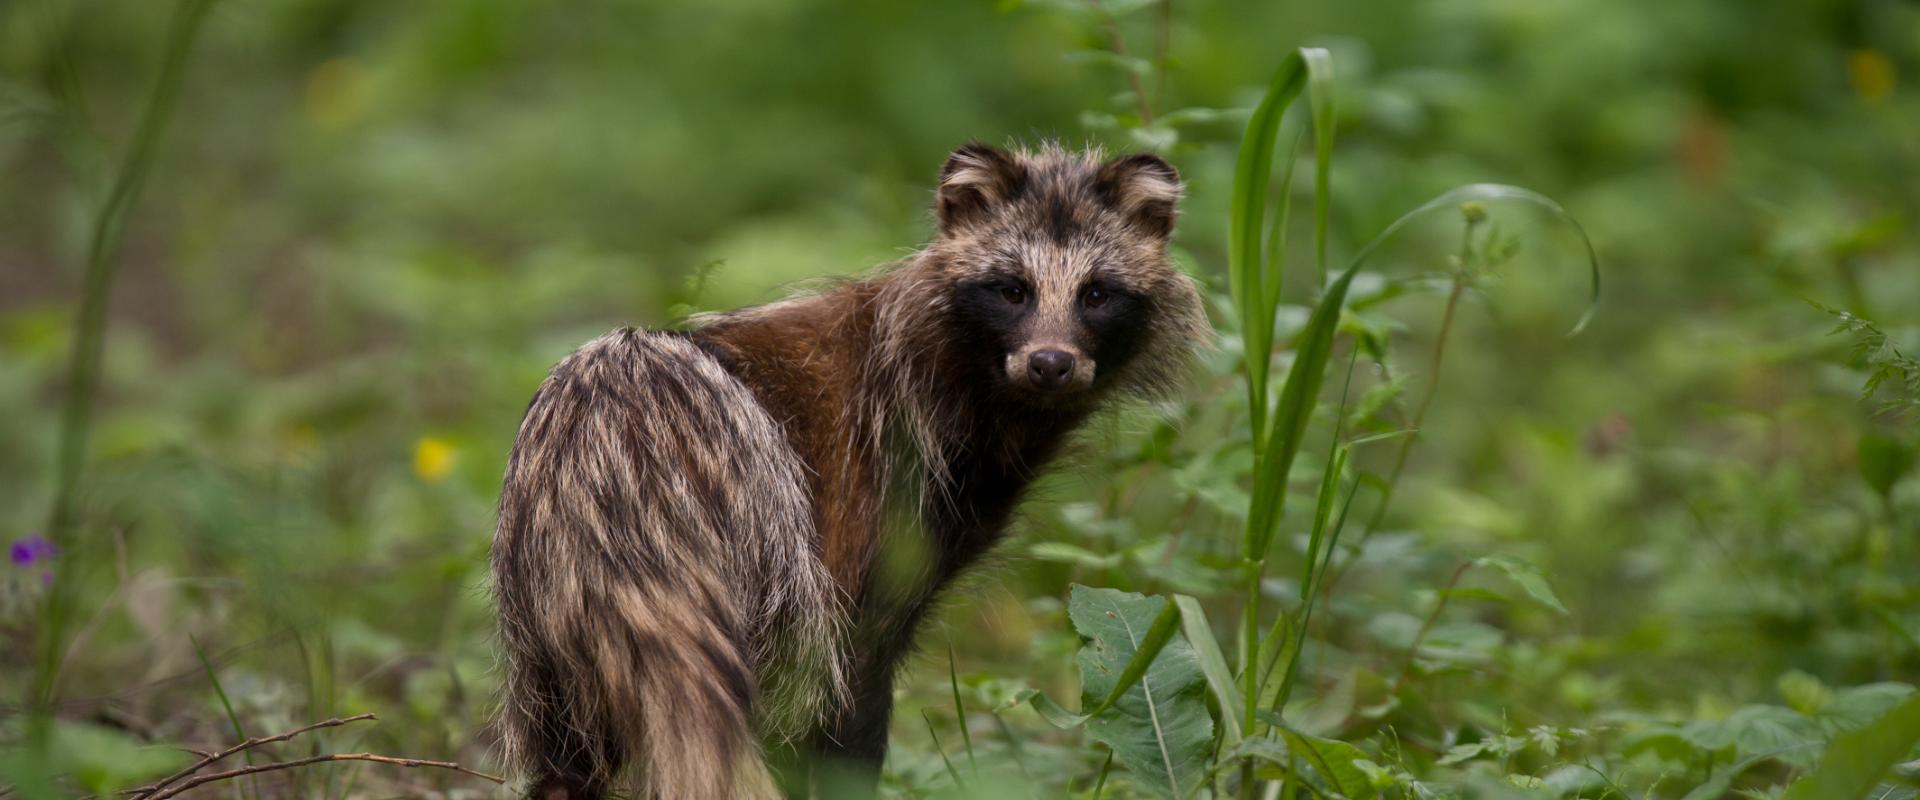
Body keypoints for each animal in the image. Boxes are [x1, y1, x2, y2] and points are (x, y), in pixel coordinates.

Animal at [499, 144, 1213, 798]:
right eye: (1012, 289)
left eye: (1097, 294)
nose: (1050, 363)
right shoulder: (872, 510)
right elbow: (851, 703)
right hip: (767, 546)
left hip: (544, 619)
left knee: (565, 759)